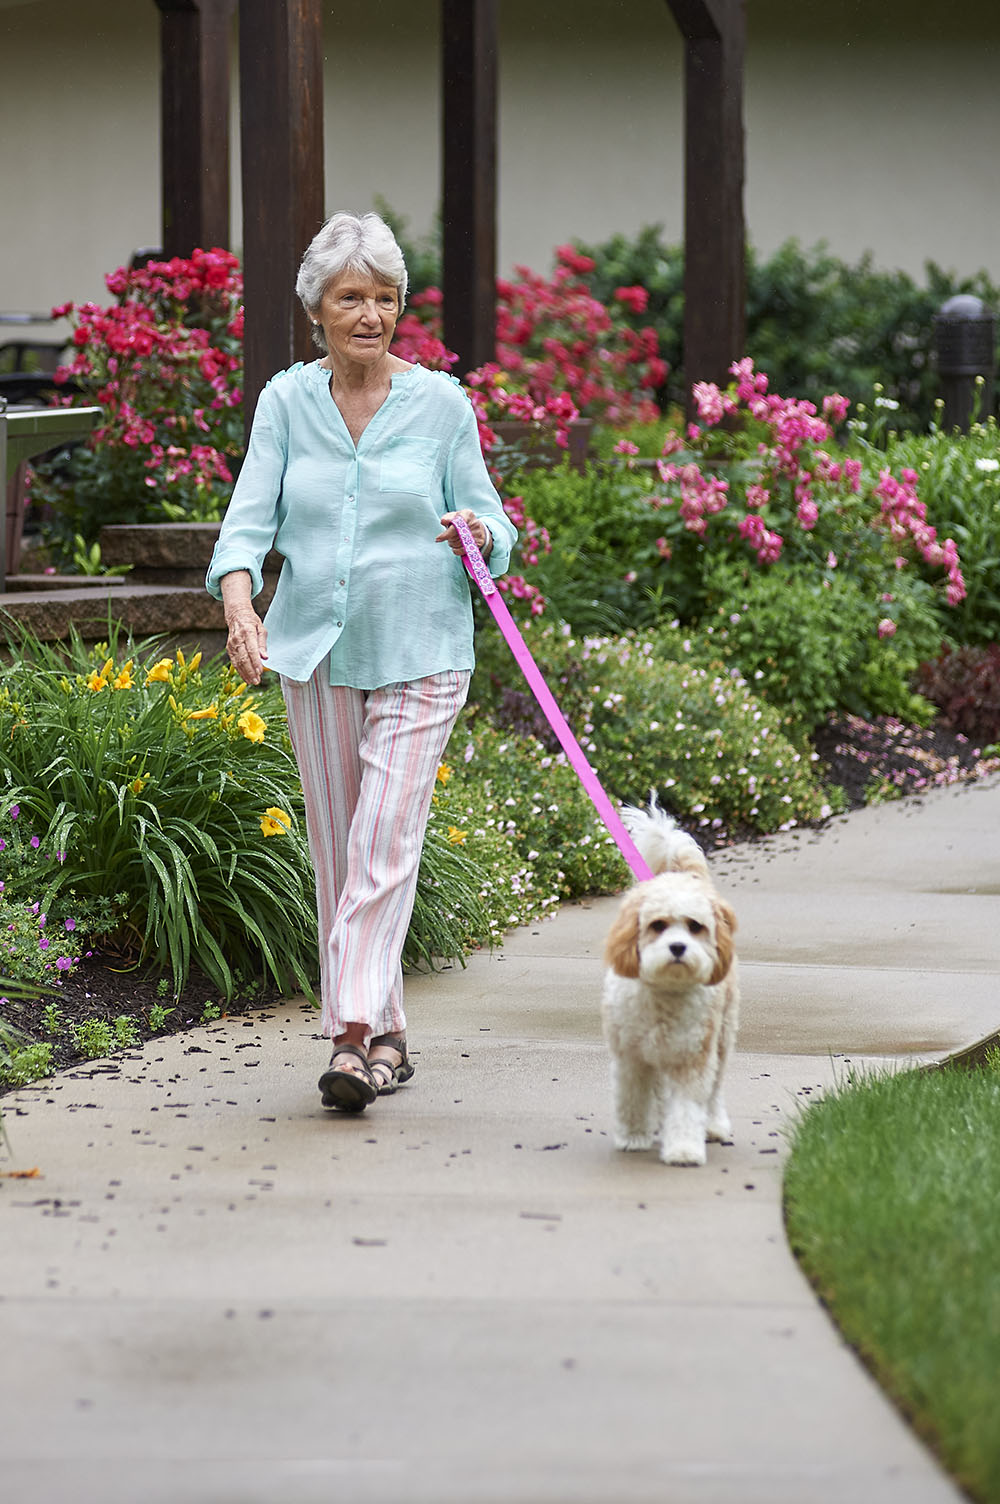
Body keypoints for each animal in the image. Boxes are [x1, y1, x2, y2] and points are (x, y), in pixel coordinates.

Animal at [601, 800, 733, 1161]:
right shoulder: (631, 1058)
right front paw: (633, 1136)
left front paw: (685, 1149)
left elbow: (687, 1106)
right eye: (657, 925)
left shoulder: (692, 1058)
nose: (677, 947)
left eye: (695, 926)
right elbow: (633, 1098)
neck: (665, 993)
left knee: (714, 1089)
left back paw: (713, 1125)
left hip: (722, 1035)